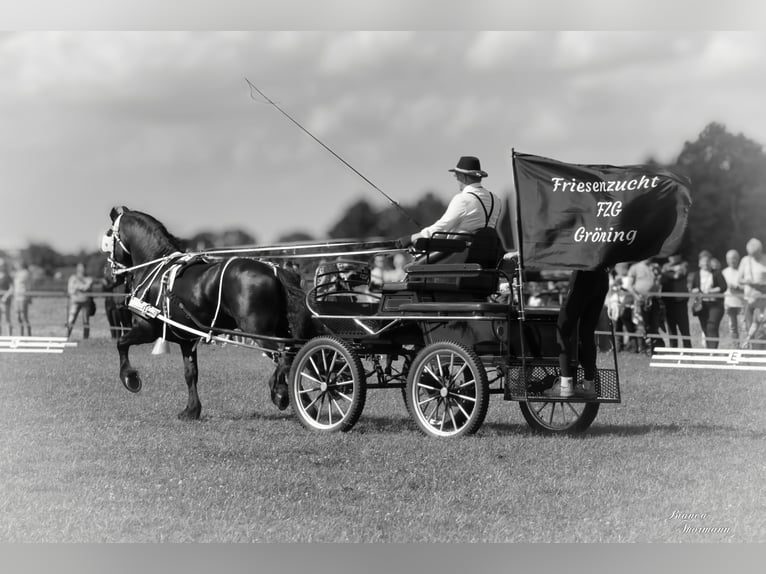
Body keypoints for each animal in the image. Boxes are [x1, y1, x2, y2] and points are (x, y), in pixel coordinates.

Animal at [100, 206, 315, 419]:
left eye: (109, 235)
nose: (108, 275)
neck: (154, 267)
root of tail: (273, 270)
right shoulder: (187, 340)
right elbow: (190, 374)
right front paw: (191, 410)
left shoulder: (147, 328)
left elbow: (121, 343)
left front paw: (130, 378)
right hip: (281, 329)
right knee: (295, 357)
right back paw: (304, 401)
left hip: (259, 331)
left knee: (284, 354)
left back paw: (280, 392)